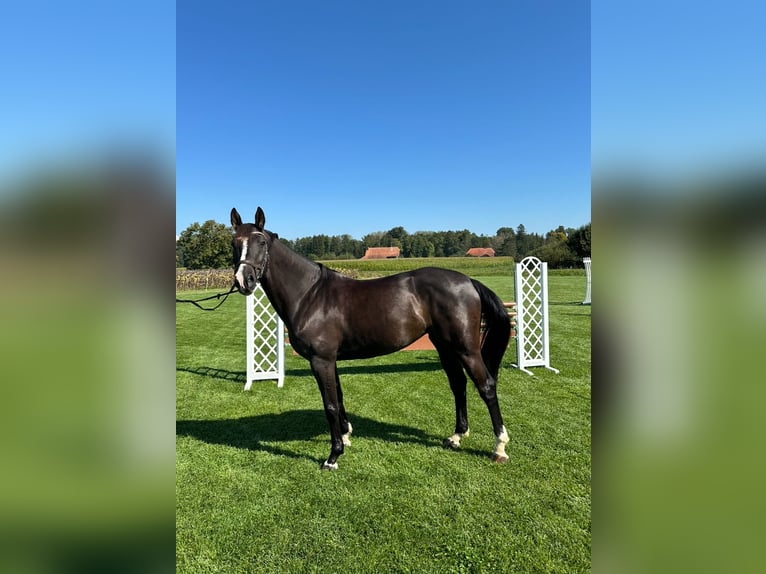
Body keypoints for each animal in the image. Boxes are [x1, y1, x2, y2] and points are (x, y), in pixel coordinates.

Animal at [231, 208, 512, 472]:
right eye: (234, 243)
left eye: (261, 242)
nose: (244, 281)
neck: (310, 295)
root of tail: (468, 281)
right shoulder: (331, 360)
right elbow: (339, 399)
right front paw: (346, 437)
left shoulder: (321, 361)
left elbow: (330, 405)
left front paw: (333, 456)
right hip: (445, 346)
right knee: (458, 384)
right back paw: (456, 436)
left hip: (467, 349)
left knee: (486, 386)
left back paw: (499, 447)